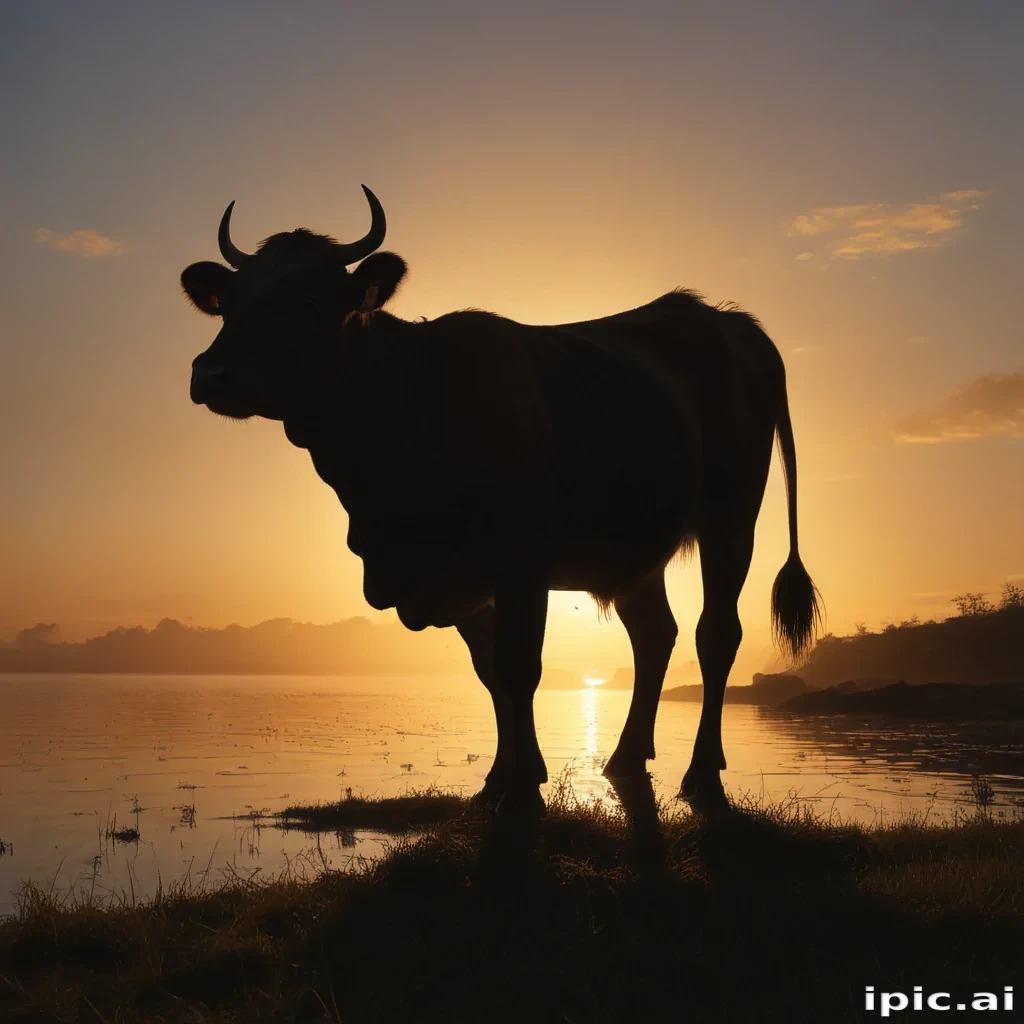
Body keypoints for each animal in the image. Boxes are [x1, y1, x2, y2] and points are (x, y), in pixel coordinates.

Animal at [183, 186, 821, 814]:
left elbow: (520, 668)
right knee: (654, 634)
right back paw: (625, 756)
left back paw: (702, 773)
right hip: (638, 546)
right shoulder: (459, 573)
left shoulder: (522, 563)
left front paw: (521, 789)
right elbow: (490, 672)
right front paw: (501, 777)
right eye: (231, 301)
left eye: (308, 299)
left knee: (716, 635)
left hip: (731, 519)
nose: (211, 372)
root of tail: (729, 320)